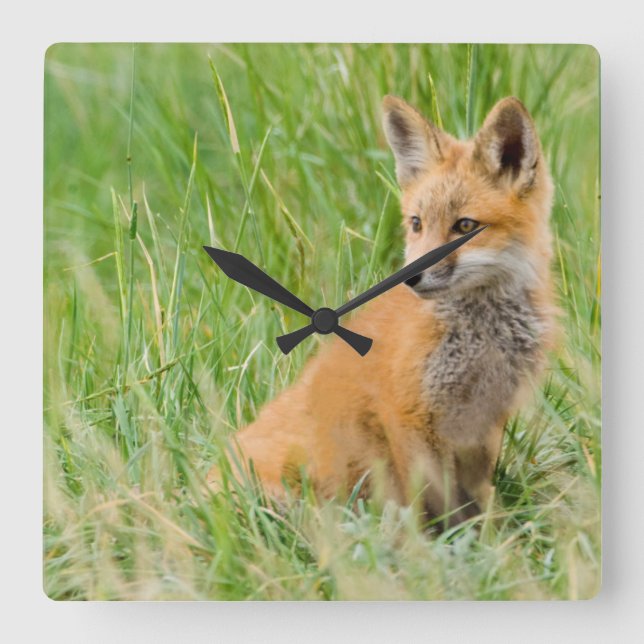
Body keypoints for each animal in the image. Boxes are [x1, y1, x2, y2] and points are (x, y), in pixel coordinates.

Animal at [208, 95, 558, 526]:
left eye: (464, 226)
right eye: (416, 223)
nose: (410, 278)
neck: (481, 337)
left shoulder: (484, 422)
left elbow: (477, 498)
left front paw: (493, 533)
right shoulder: (406, 413)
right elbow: (432, 501)